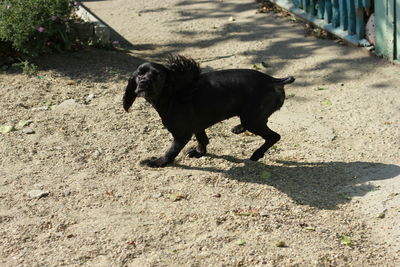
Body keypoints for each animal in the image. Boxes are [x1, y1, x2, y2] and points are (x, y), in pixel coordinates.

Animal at [123, 55, 296, 168]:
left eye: (157, 75)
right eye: (139, 74)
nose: (143, 83)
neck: (173, 93)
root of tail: (273, 80)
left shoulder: (181, 135)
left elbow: (171, 151)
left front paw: (157, 162)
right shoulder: (196, 124)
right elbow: (202, 139)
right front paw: (200, 152)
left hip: (251, 119)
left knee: (274, 136)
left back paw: (256, 154)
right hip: (252, 117)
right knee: (264, 124)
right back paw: (239, 128)